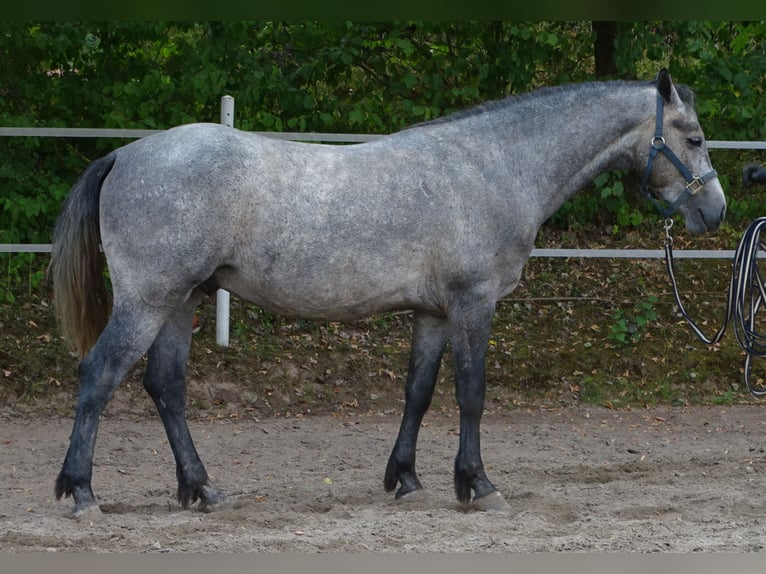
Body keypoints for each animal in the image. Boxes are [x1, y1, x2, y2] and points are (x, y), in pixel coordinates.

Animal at [50, 69, 726, 517]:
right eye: (693, 138)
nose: (715, 211)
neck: (493, 166)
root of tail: (125, 154)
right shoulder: (473, 304)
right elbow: (472, 393)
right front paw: (478, 485)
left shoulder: (433, 312)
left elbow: (419, 394)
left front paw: (406, 479)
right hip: (148, 301)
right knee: (99, 375)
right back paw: (82, 492)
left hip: (181, 301)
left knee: (166, 387)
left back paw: (201, 489)